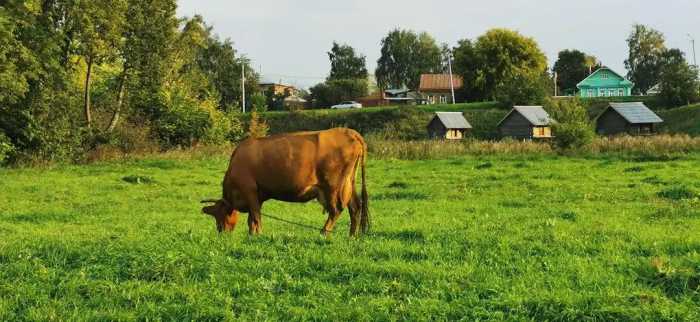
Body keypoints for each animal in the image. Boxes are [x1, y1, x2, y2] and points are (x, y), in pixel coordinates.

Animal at [200, 127, 370, 236]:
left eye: (219, 214)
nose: (221, 232)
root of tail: (349, 131)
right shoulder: (258, 195)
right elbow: (252, 218)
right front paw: (251, 234)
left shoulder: (249, 190)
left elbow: (255, 216)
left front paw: (258, 234)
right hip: (348, 182)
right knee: (355, 207)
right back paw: (351, 236)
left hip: (333, 186)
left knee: (336, 210)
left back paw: (324, 233)